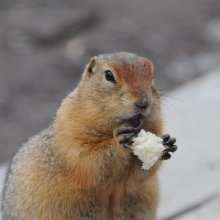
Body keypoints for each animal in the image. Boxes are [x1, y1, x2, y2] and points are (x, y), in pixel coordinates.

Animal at [1, 52, 177, 219]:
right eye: (109, 75)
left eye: (151, 76)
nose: (144, 102)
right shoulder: (68, 130)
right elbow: (89, 159)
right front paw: (120, 140)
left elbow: (137, 177)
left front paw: (168, 143)